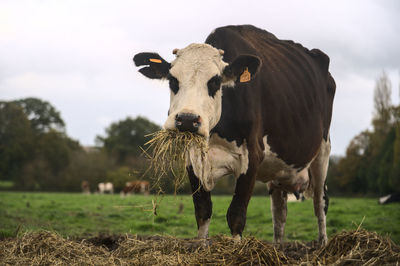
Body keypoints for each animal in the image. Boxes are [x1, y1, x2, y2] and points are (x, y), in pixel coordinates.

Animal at [134, 25, 334, 245]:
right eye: (172, 80)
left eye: (215, 81)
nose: (187, 120)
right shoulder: (193, 159)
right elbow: (203, 211)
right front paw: (201, 245)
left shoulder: (252, 156)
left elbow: (236, 215)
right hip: (279, 171)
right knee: (279, 213)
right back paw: (277, 246)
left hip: (322, 152)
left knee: (320, 203)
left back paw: (323, 243)